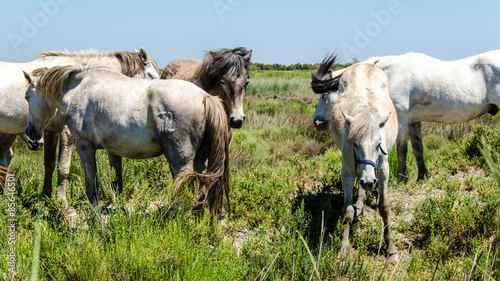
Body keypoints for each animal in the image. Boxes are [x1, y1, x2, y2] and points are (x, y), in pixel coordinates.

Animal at [0, 47, 158, 202]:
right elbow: (63, 167)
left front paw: (46, 196)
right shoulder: (67, 132)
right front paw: (61, 201)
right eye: (153, 76)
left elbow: (49, 164)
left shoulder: (51, 131)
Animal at [23, 65, 230, 214]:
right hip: (201, 159)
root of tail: (205, 96)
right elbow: (117, 183)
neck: (79, 89)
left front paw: (95, 211)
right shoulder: (113, 150)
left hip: (180, 160)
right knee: (203, 184)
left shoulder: (84, 146)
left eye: (27, 96)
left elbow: (92, 184)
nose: (30, 133)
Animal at [312, 50, 500, 182]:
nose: (317, 123)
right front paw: (423, 175)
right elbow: (418, 149)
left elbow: (401, 149)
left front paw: (401, 177)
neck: (388, 76)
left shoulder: (401, 120)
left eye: (324, 96)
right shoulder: (414, 122)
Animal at [312, 54, 398, 260]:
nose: (317, 122)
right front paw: (343, 249)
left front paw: (391, 249)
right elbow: (348, 210)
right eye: (355, 144)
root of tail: (363, 65)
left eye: (378, 144)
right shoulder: (348, 171)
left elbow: (384, 207)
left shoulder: (382, 170)